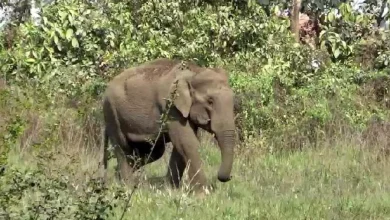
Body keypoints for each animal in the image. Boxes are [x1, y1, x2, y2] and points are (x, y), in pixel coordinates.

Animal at [100, 58, 236, 192]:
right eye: (210, 101)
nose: (229, 177)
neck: (193, 72)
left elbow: (180, 146)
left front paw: (171, 189)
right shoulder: (171, 107)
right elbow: (187, 143)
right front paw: (202, 193)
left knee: (152, 152)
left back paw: (118, 178)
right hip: (111, 114)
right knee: (123, 149)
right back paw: (126, 187)